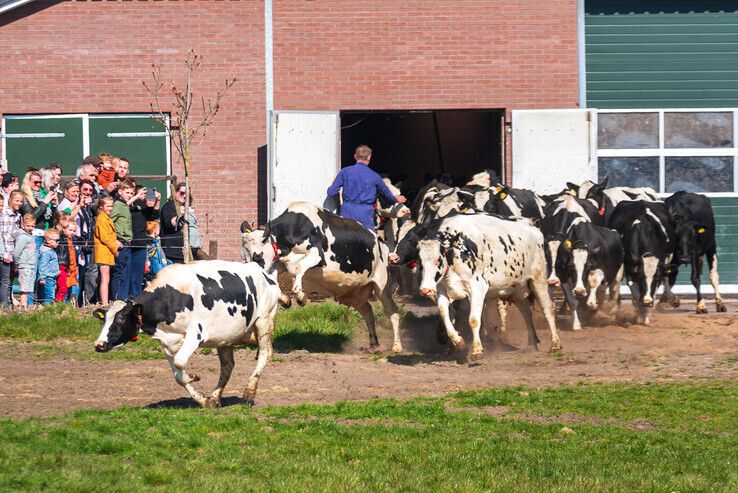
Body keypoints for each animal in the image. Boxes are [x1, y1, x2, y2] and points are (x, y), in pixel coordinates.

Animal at [90, 262, 278, 408]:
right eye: (105, 319)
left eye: (121, 318)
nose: (99, 345)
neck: (170, 297)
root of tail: (264, 273)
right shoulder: (168, 344)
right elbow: (178, 376)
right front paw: (201, 399)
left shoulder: (196, 333)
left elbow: (181, 363)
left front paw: (193, 376)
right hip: (225, 338)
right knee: (227, 366)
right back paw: (214, 398)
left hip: (263, 321)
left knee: (264, 354)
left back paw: (249, 392)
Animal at [240, 202, 402, 352]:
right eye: (244, 254)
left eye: (258, 255)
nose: (251, 272)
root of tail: (381, 242)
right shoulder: (282, 262)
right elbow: (274, 279)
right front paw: (286, 299)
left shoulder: (317, 255)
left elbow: (299, 268)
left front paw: (300, 296)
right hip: (353, 293)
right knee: (368, 311)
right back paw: (374, 344)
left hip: (382, 284)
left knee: (392, 311)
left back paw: (396, 346)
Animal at [414, 211, 556, 358]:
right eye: (420, 260)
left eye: (438, 259)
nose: (425, 289)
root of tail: (534, 228)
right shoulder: (441, 289)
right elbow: (444, 313)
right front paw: (458, 341)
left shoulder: (477, 288)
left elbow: (474, 319)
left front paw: (477, 350)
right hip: (517, 289)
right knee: (526, 312)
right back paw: (532, 344)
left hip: (538, 280)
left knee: (548, 308)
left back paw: (555, 344)